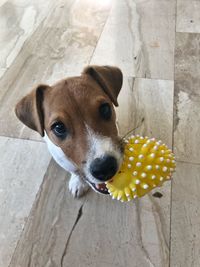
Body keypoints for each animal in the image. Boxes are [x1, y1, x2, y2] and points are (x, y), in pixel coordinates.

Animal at [14, 66, 123, 198]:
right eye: (59, 127)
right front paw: (78, 181)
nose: (105, 167)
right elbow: (73, 170)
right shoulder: (62, 160)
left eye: (105, 108)